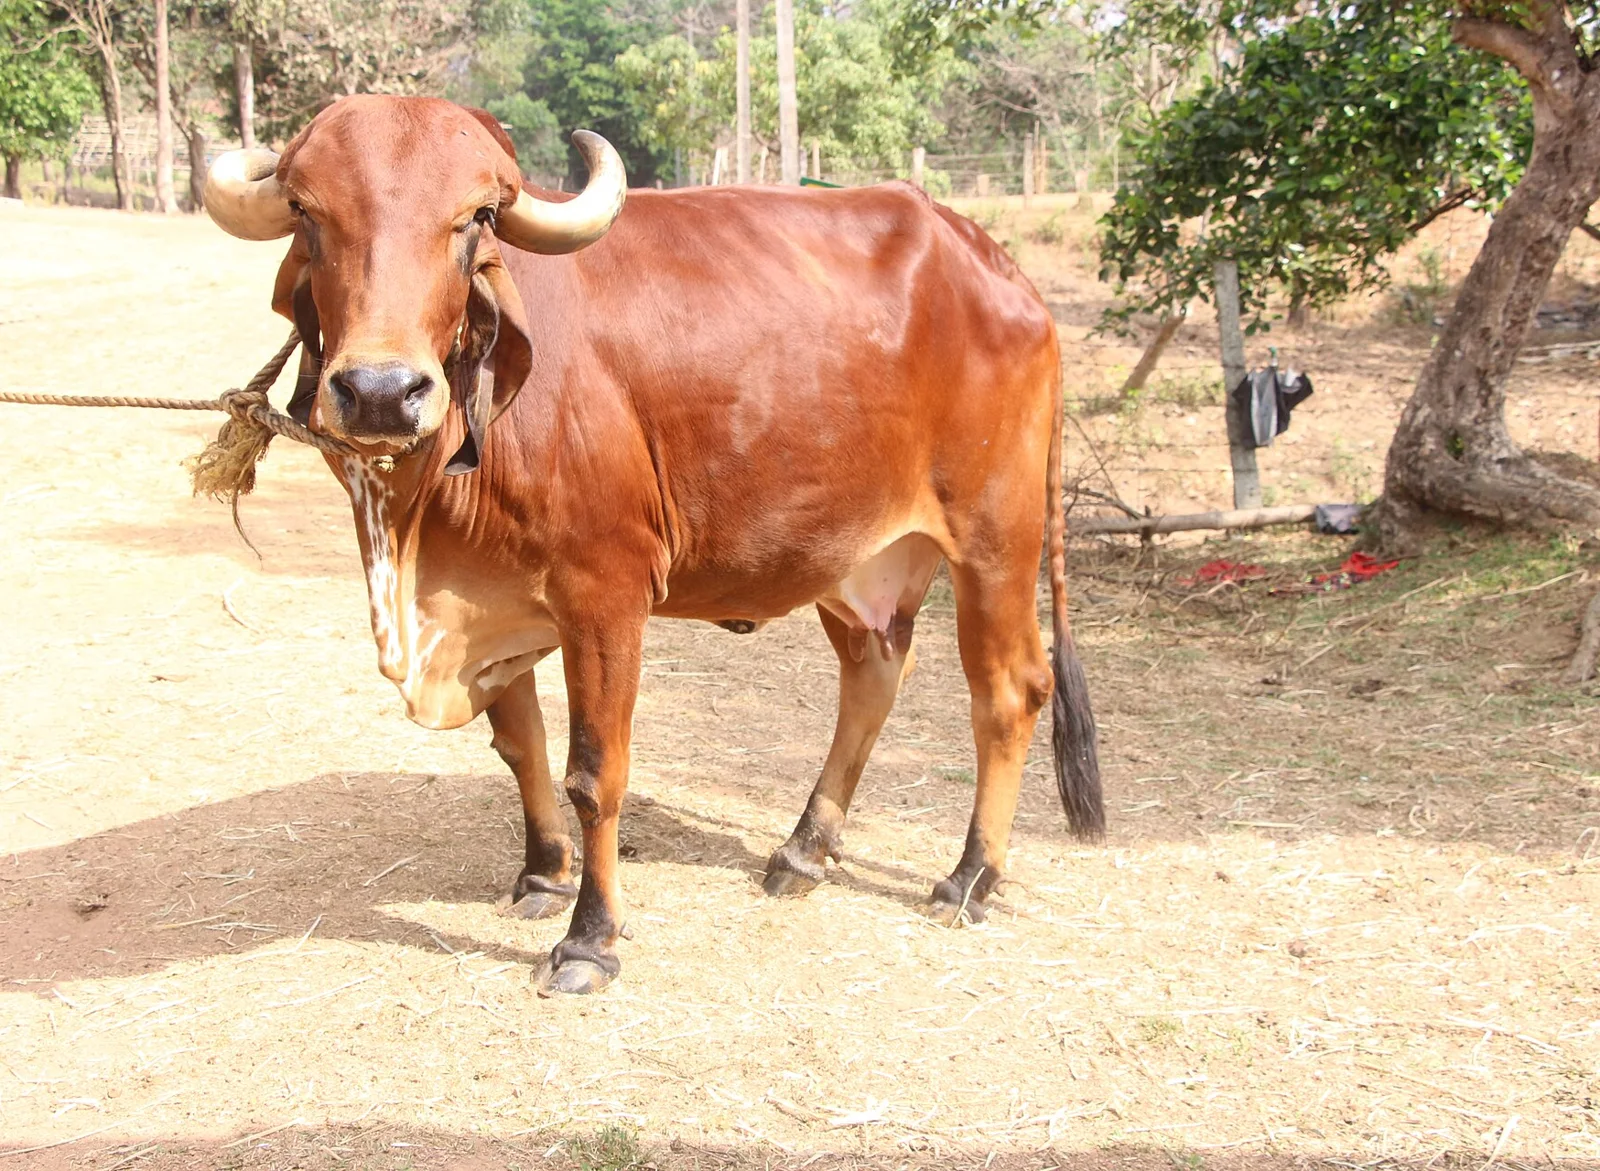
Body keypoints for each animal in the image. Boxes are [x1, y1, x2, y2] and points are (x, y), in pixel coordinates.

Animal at [202, 94, 1102, 994]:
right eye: (307, 212)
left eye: (474, 219)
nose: (382, 393)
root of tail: (997, 265)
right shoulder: (493, 600)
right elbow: (521, 746)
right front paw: (542, 874)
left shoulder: (605, 595)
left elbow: (594, 773)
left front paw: (589, 938)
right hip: (857, 561)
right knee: (874, 677)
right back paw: (803, 850)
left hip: (995, 541)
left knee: (1010, 691)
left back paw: (970, 876)